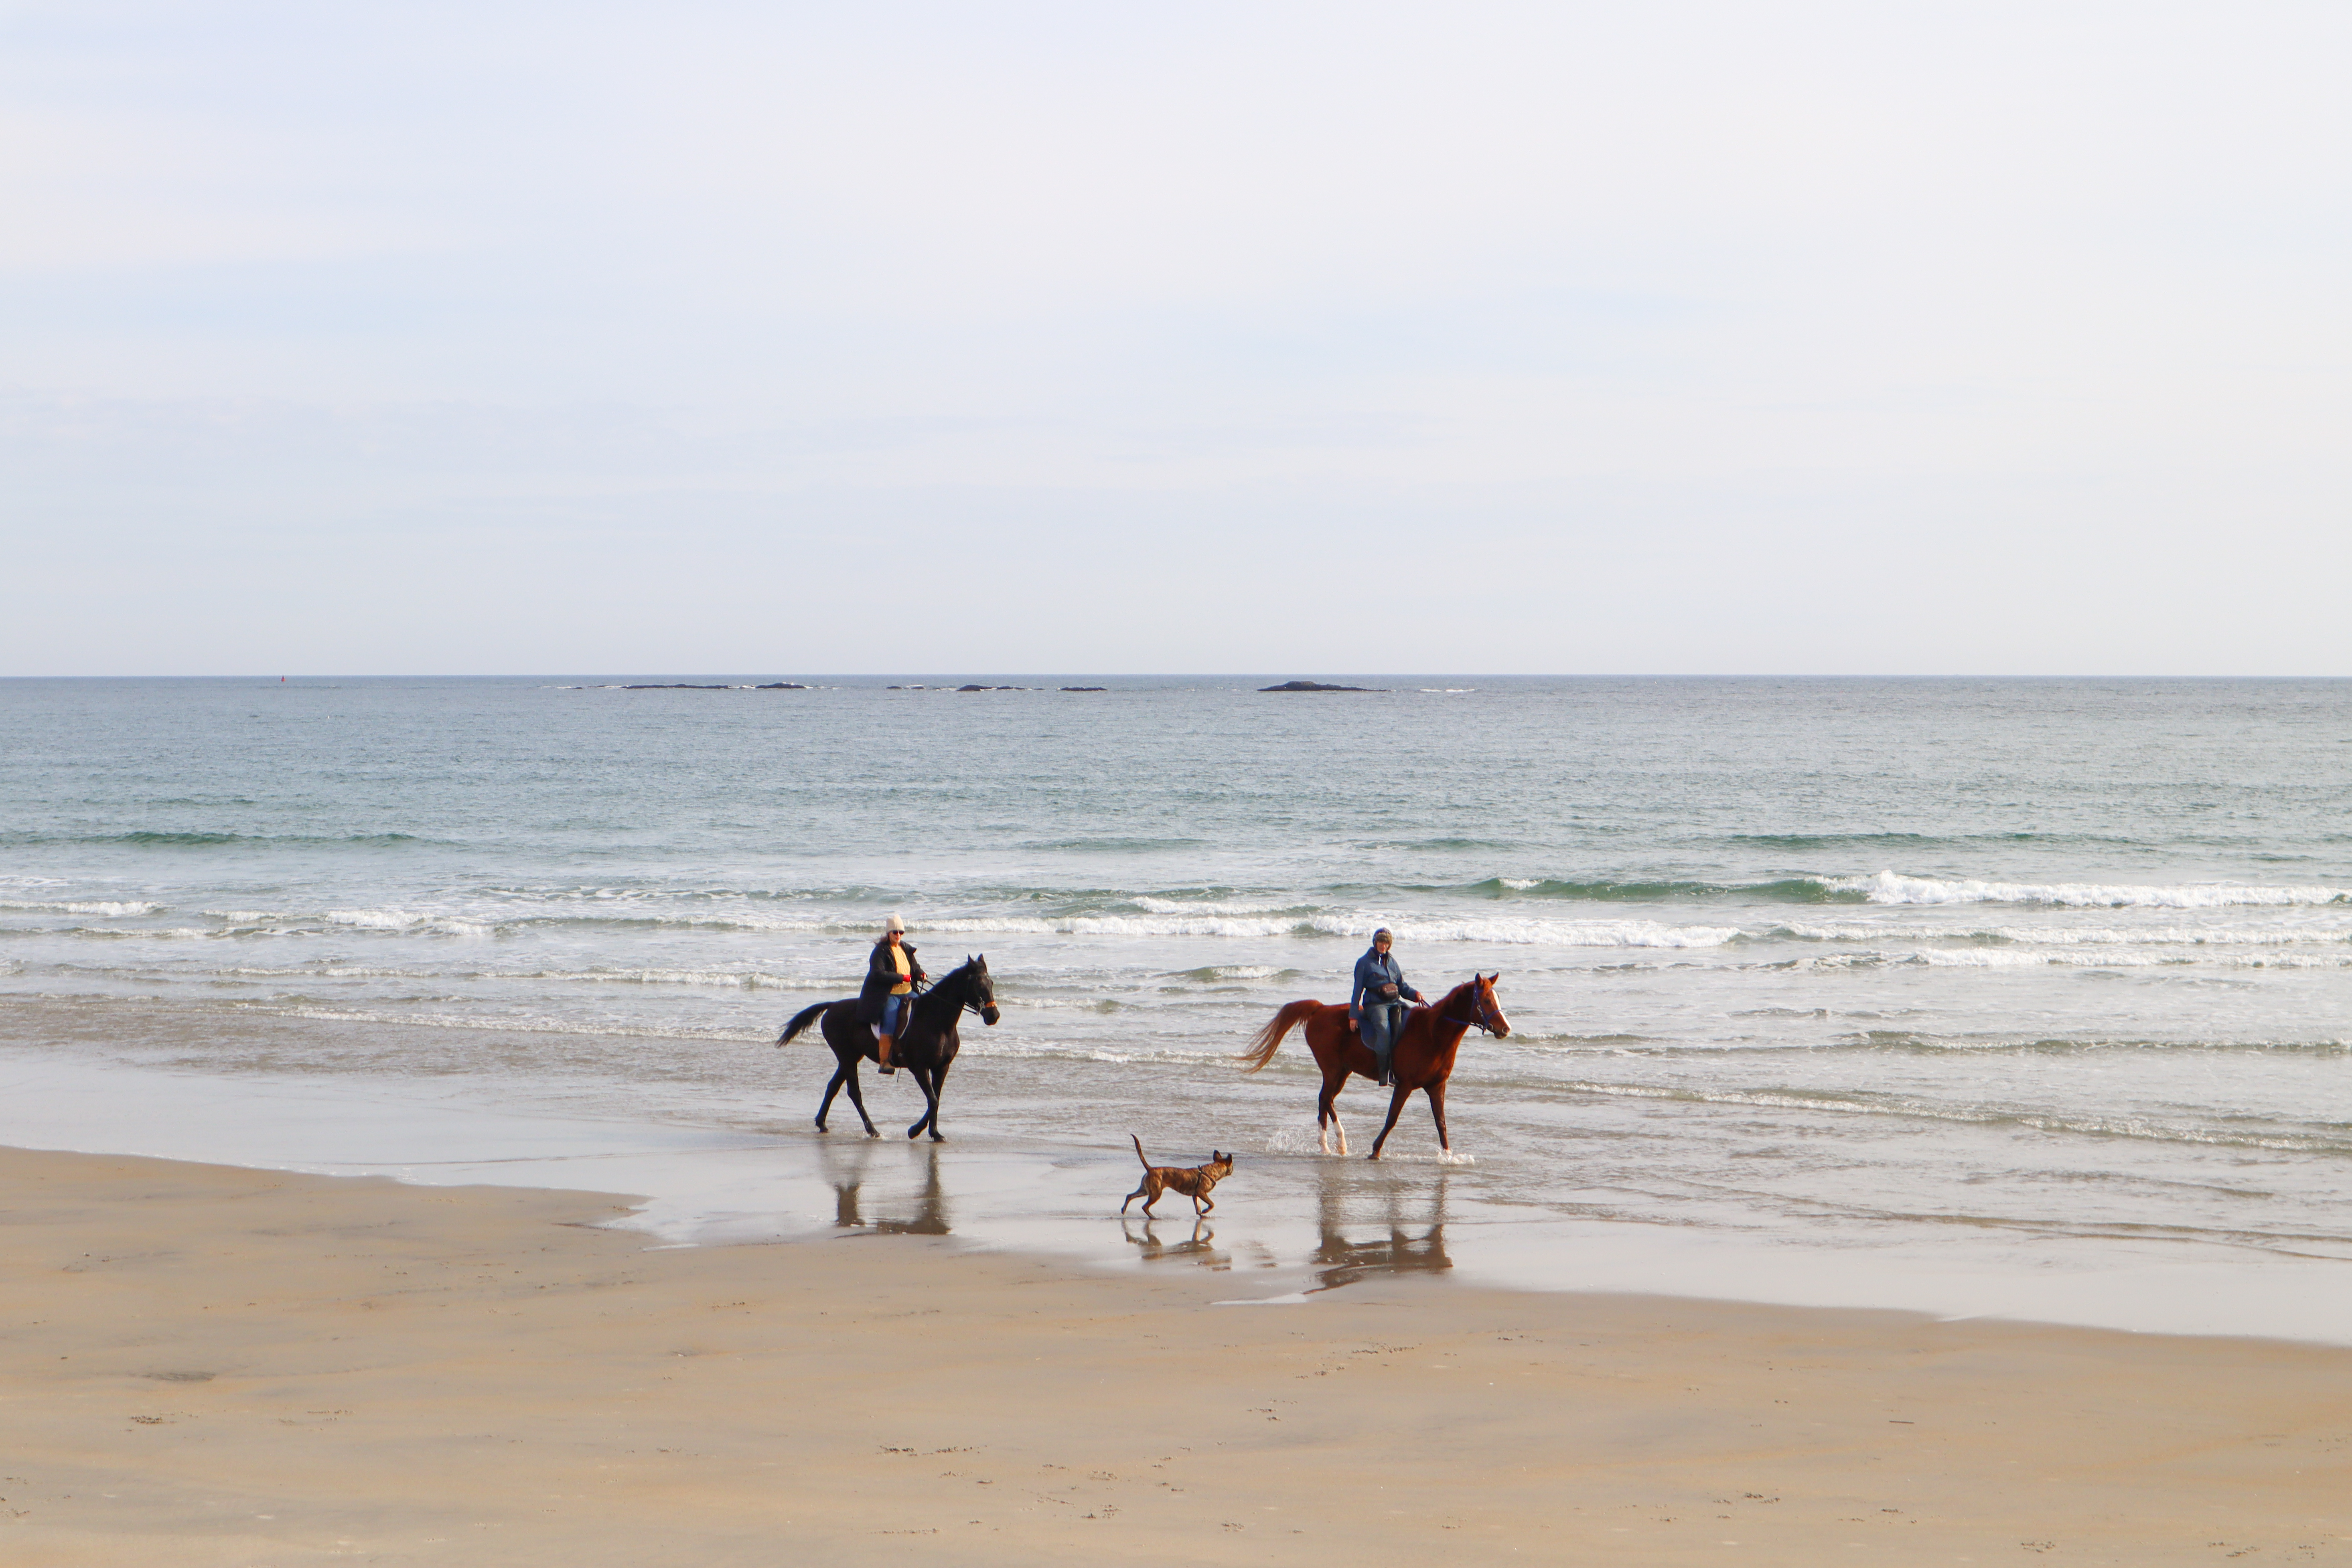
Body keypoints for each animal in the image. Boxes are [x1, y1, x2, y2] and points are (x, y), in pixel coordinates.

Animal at [776, 955, 999, 1141]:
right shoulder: (919, 1068)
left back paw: (822, 1123)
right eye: (979, 984)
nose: (994, 1016)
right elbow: (933, 1100)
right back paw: (872, 1130)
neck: (936, 1021)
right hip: (847, 1057)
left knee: (833, 1087)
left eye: (991, 983)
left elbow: (935, 1100)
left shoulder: (942, 1067)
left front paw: (935, 1133)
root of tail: (833, 1006)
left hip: (851, 1057)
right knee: (854, 1093)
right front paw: (914, 1131)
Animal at [1236, 973, 1509, 1159]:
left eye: (1497, 998)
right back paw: (1328, 1145)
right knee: (1325, 1098)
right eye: (1486, 1000)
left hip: (1342, 1071)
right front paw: (1376, 1150)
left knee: (1327, 1100)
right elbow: (1392, 1119)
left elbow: (1441, 1122)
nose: (1505, 1029)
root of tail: (1320, 1010)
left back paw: (1338, 1144)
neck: (1432, 1034)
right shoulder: (1405, 1085)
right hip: (1332, 1070)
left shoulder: (1436, 1086)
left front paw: (1448, 1155)